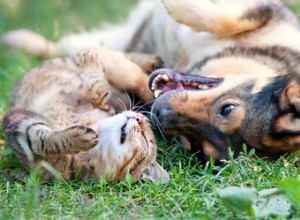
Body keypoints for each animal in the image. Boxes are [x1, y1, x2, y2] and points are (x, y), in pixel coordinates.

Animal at [1, 46, 169, 184]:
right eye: (146, 128)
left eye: (146, 139)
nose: (139, 117)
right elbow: (100, 90)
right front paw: (90, 61)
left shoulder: (19, 126)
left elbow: (41, 141)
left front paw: (75, 138)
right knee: (127, 62)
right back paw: (153, 63)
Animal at [2, 0, 300, 162]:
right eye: (227, 108)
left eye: (197, 146)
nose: (159, 114)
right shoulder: (262, 11)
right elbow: (223, 19)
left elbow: (136, 78)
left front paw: (109, 61)